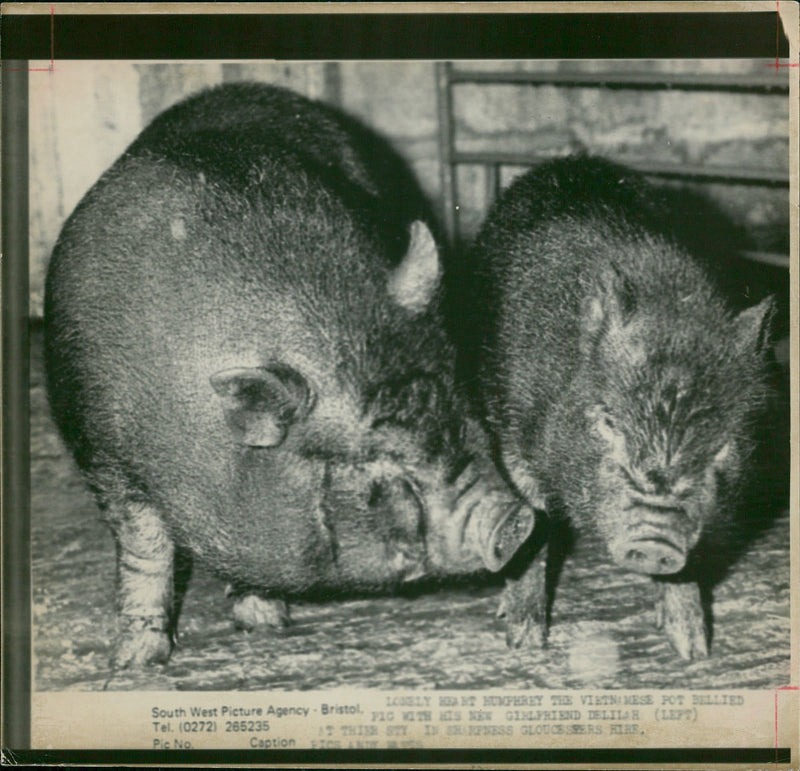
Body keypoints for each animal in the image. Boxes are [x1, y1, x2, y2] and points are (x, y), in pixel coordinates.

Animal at [456, 158, 776, 664]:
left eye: (723, 446)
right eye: (608, 423)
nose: (654, 538)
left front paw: (693, 649)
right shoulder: (512, 438)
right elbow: (531, 531)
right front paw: (523, 642)